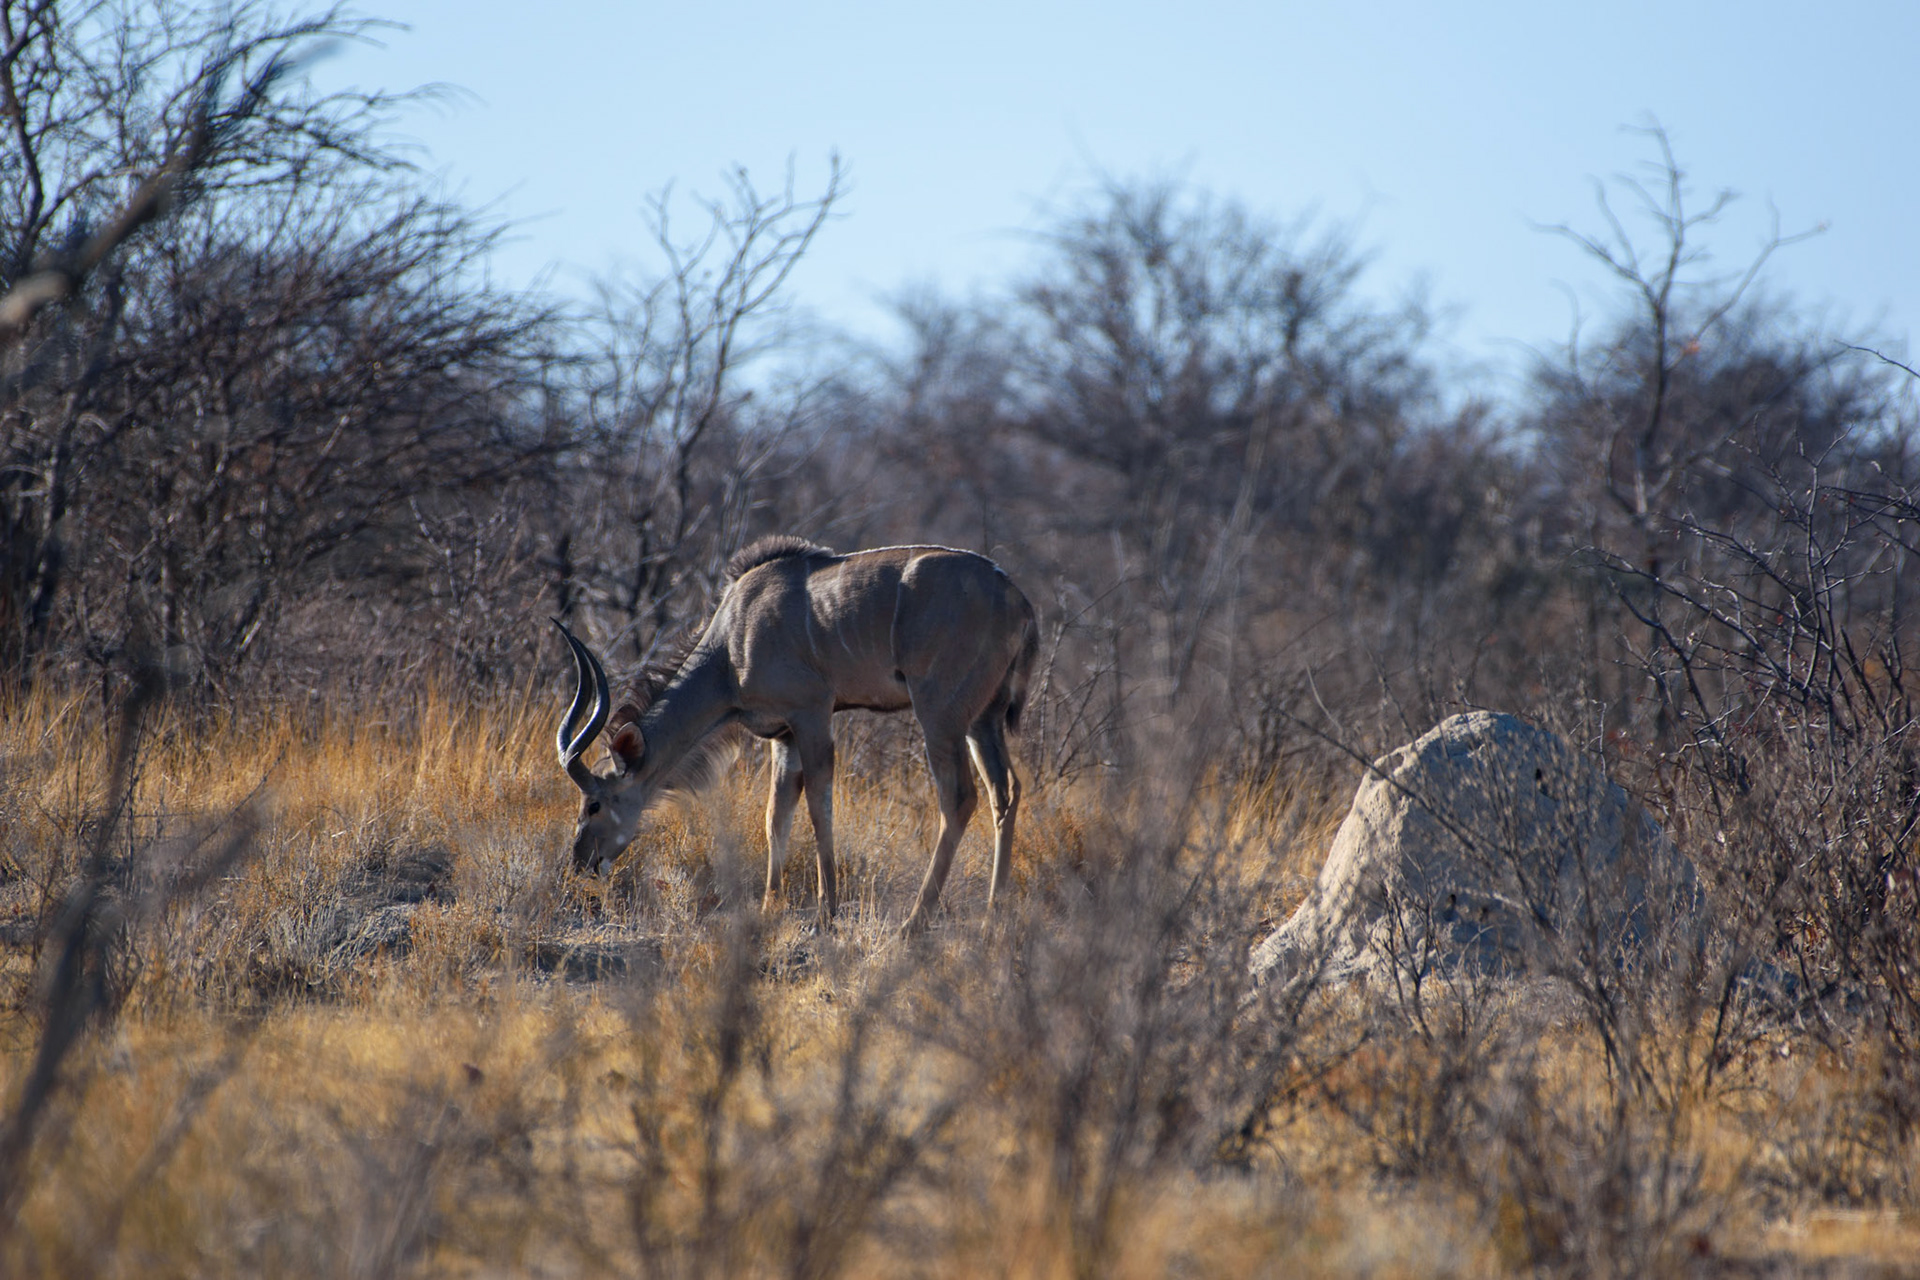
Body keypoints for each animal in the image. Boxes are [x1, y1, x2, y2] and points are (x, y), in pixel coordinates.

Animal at [553, 536, 1039, 934]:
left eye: (593, 804)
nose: (580, 863)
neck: (731, 645)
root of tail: (1018, 599)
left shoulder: (812, 714)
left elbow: (819, 807)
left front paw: (827, 912)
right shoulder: (782, 735)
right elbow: (776, 815)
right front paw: (771, 907)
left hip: (939, 712)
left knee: (959, 796)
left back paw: (915, 921)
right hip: (982, 720)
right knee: (1005, 791)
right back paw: (993, 913)